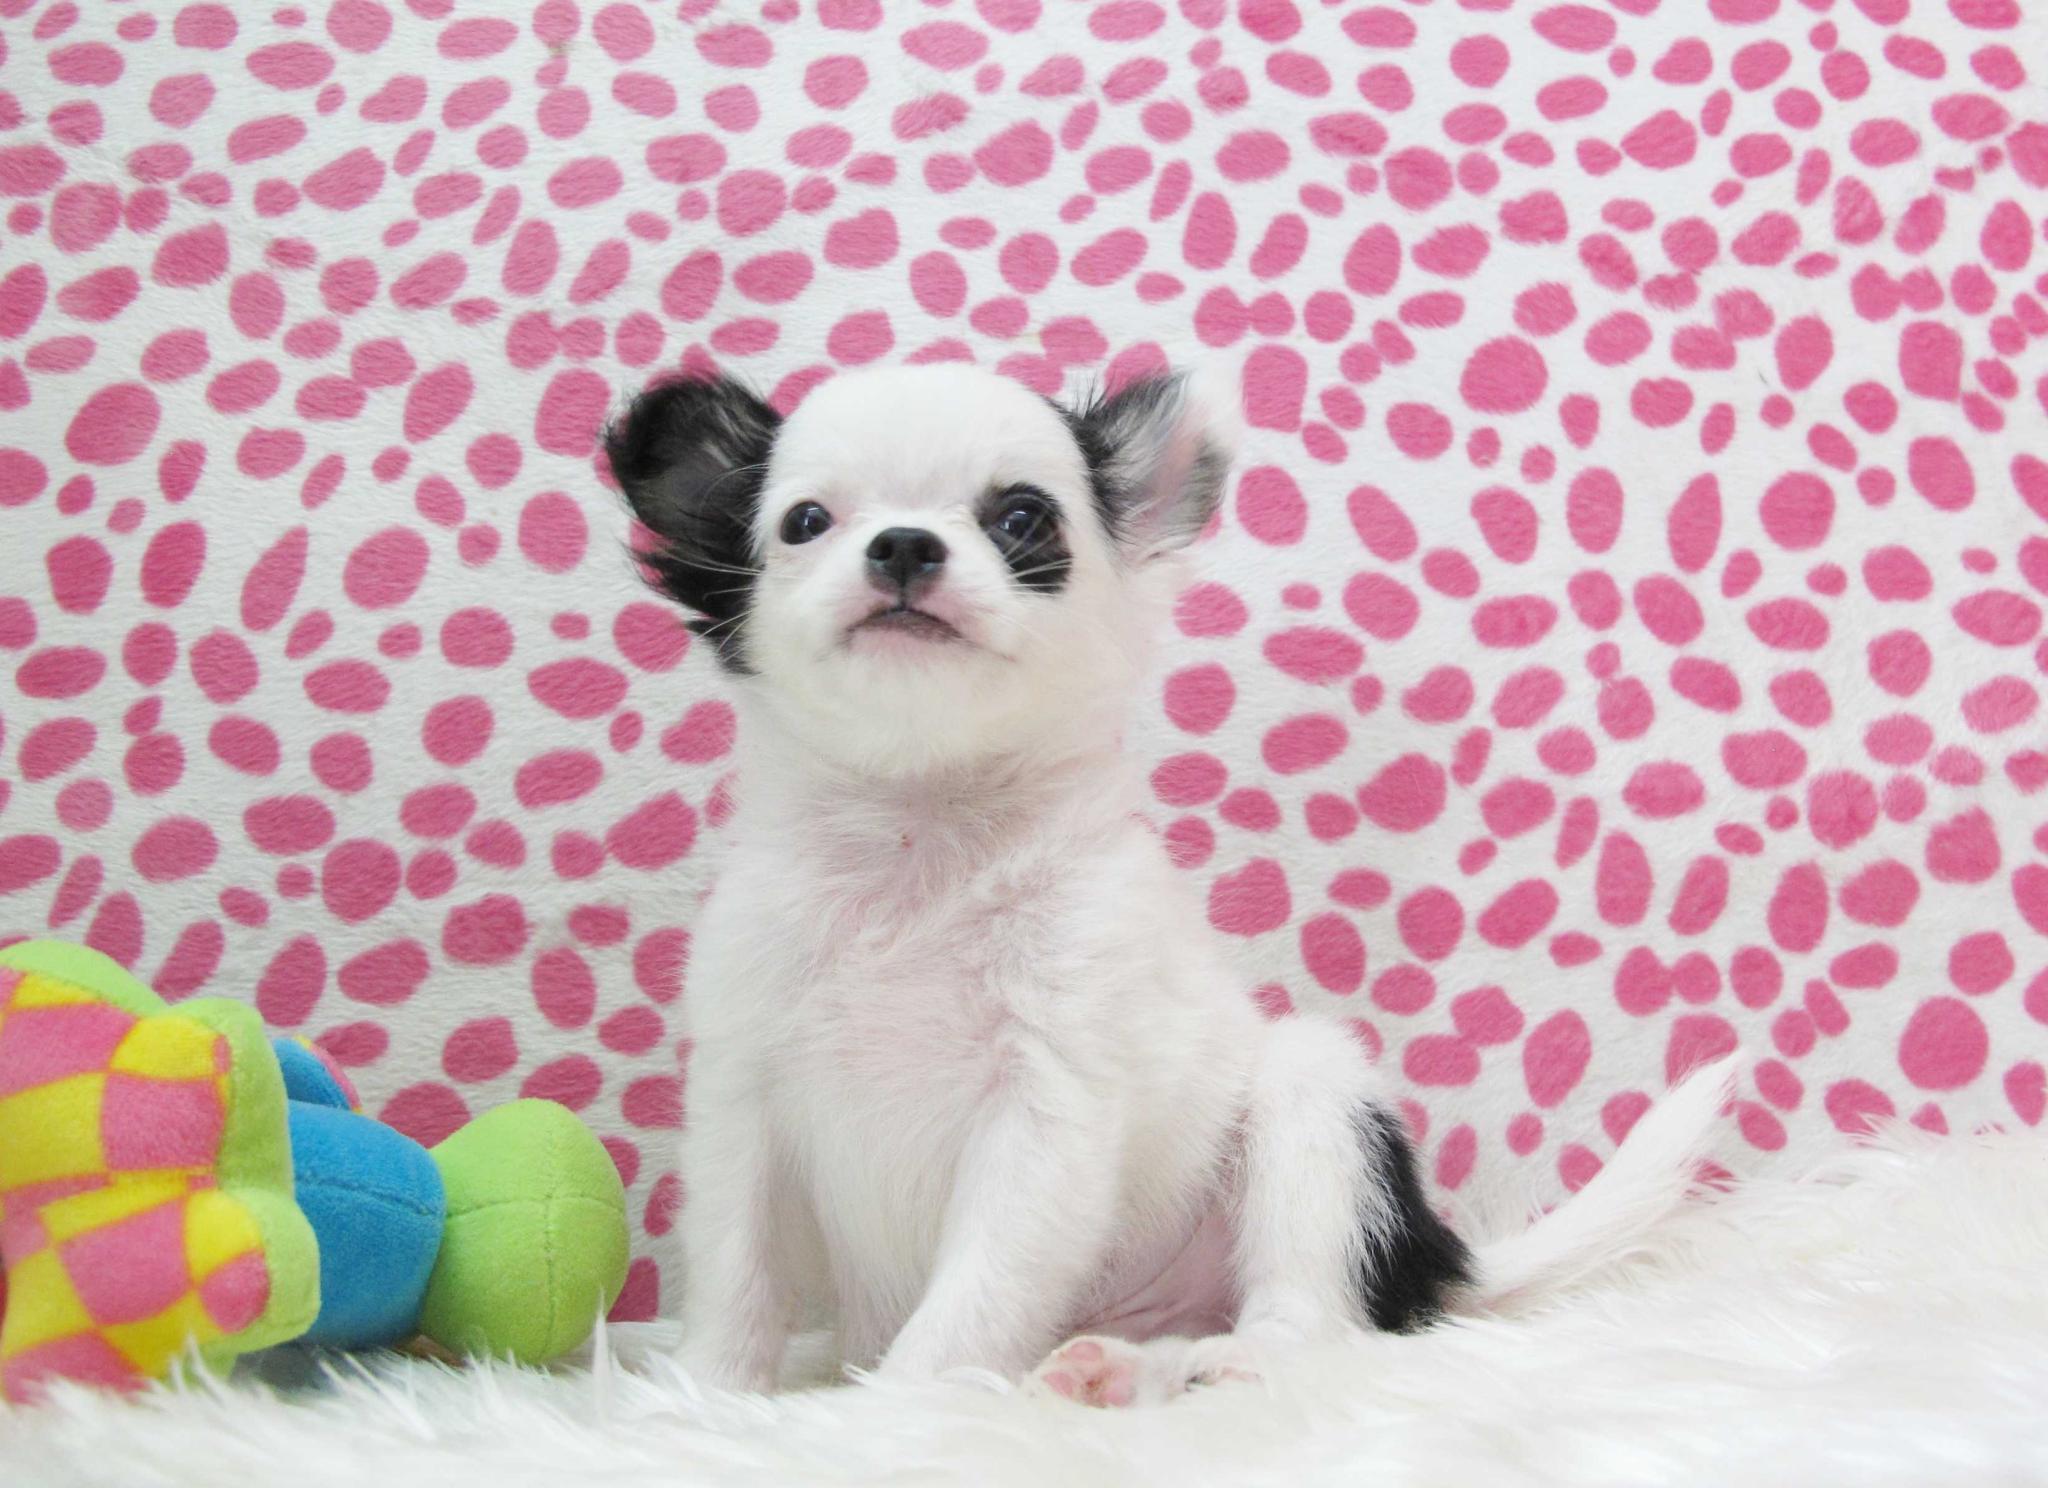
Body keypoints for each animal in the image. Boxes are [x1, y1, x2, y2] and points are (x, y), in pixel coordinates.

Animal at [603, 362, 1736, 1406]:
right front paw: (702, 1396)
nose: (905, 545)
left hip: (1316, 1111)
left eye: (1023, 519)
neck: (917, 833)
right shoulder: (745, 1104)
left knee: (1315, 1321)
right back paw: (1112, 1370)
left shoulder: (1046, 1115)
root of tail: (1432, 1256)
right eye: (804, 522)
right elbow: (737, 1274)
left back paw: (1230, 1362)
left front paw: (899, 1409)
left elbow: (976, 1292)